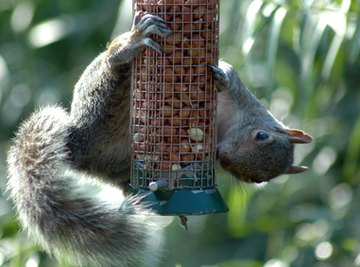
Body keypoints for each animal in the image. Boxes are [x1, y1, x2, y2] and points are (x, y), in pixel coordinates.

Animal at [5, 12, 312, 267]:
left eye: (255, 180)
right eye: (261, 136)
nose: (223, 156)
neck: (225, 127)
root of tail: (77, 143)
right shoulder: (238, 91)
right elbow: (228, 75)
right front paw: (220, 79)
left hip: (120, 169)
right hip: (105, 106)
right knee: (114, 69)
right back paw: (126, 48)